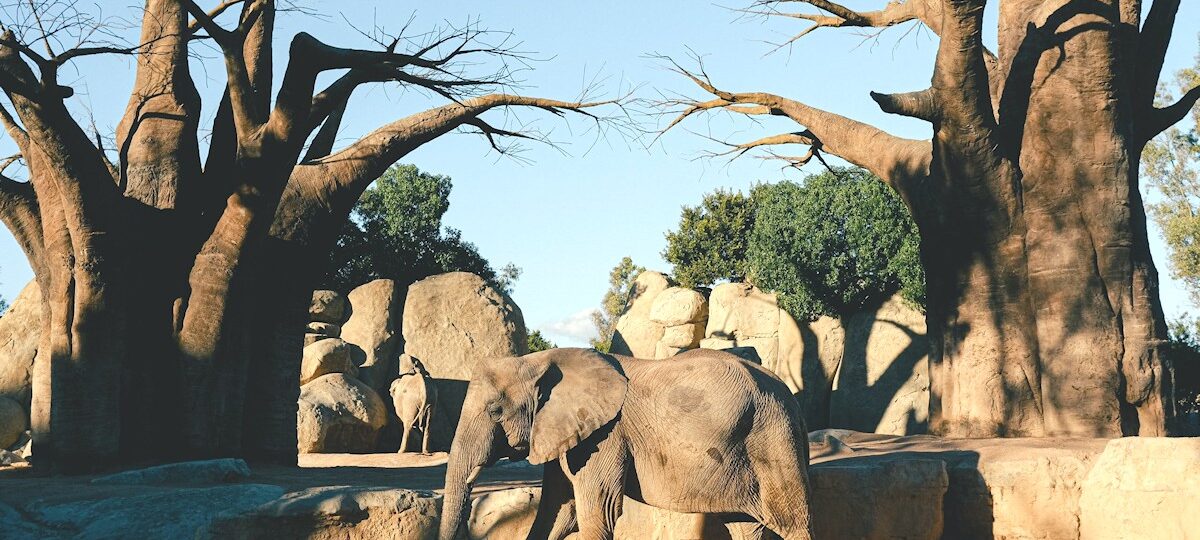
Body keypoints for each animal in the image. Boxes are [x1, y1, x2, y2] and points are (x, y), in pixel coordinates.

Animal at [439, 347, 812, 540]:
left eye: (495, 411)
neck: (540, 358)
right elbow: (558, 512)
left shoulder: (605, 435)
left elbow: (596, 511)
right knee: (746, 526)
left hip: (774, 437)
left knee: (794, 522)